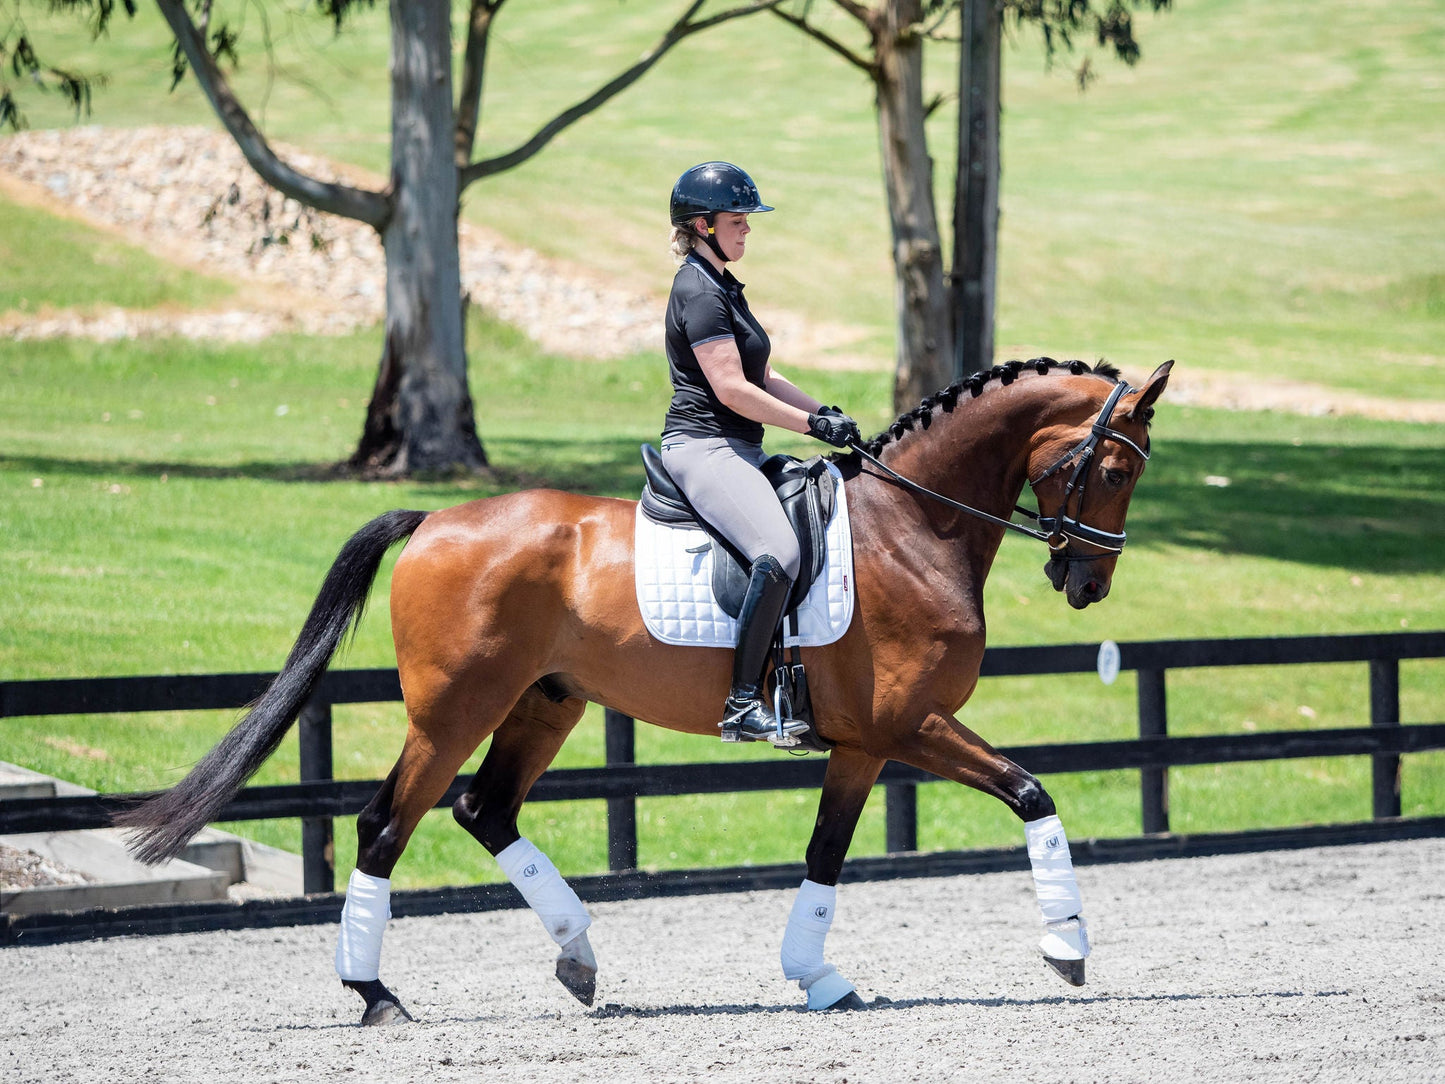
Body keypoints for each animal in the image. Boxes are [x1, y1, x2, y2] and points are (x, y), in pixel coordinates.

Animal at [115, 358, 1173, 1029]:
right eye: (1115, 467)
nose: (1088, 582)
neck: (912, 529)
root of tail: (435, 521)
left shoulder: (864, 743)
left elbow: (826, 856)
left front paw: (817, 978)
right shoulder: (903, 724)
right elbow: (1029, 792)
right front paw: (1066, 948)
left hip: (545, 702)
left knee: (484, 809)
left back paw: (578, 958)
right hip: (454, 709)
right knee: (387, 823)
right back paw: (375, 995)